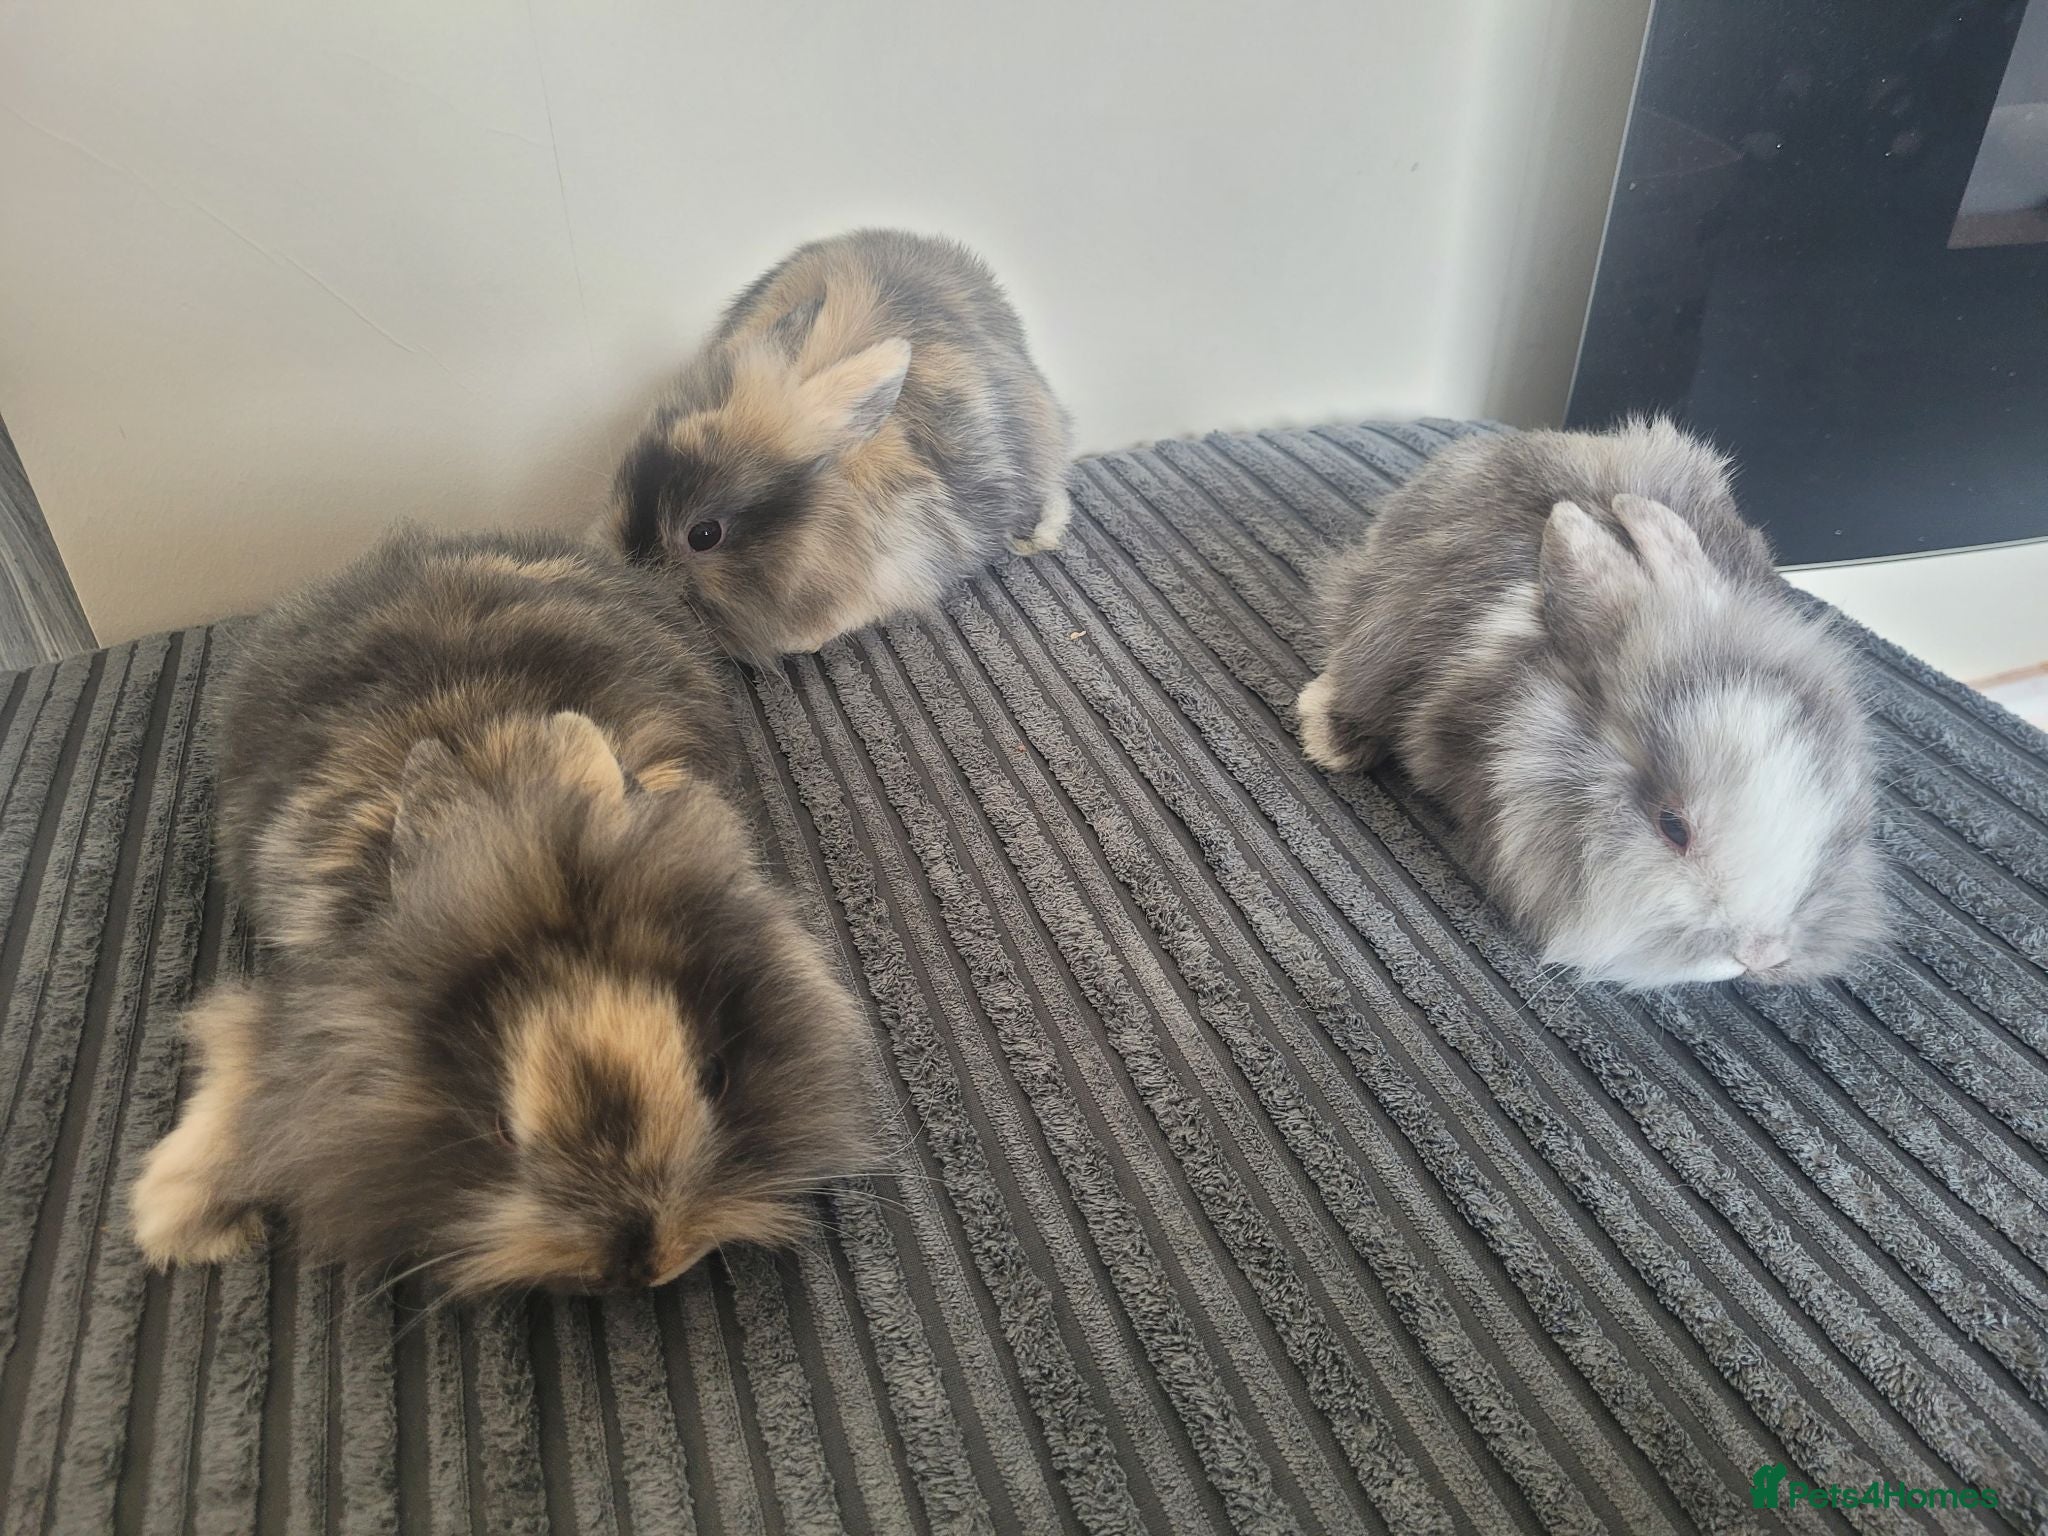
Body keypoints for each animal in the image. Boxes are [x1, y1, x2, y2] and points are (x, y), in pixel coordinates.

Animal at [130, 530, 869, 1296]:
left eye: (714, 1076)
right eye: (503, 1133)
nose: (645, 1262)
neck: (518, 811)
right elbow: (243, 1055)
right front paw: (178, 1221)